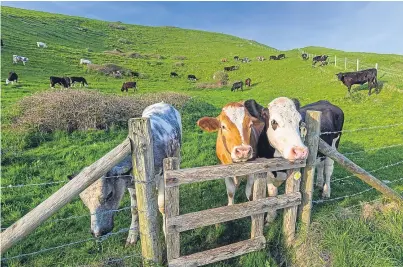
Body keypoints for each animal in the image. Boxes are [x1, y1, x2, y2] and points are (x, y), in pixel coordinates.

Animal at [70, 102, 182, 245]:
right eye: (84, 202)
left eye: (109, 194)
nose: (97, 232)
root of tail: (162, 103)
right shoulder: (130, 185)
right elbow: (134, 209)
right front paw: (132, 234)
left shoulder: (162, 176)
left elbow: (163, 205)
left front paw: (168, 233)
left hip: (177, 153)